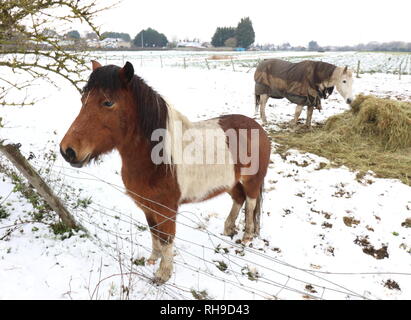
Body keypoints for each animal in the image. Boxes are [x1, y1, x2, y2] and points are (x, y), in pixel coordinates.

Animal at [59, 60, 272, 282]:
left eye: (108, 102)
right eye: (83, 99)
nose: (68, 151)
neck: (157, 158)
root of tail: (257, 126)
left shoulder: (167, 209)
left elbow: (167, 238)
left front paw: (163, 273)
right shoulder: (148, 206)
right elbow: (154, 233)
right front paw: (153, 259)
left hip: (251, 181)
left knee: (250, 203)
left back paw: (247, 235)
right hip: (230, 181)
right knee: (238, 199)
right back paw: (229, 228)